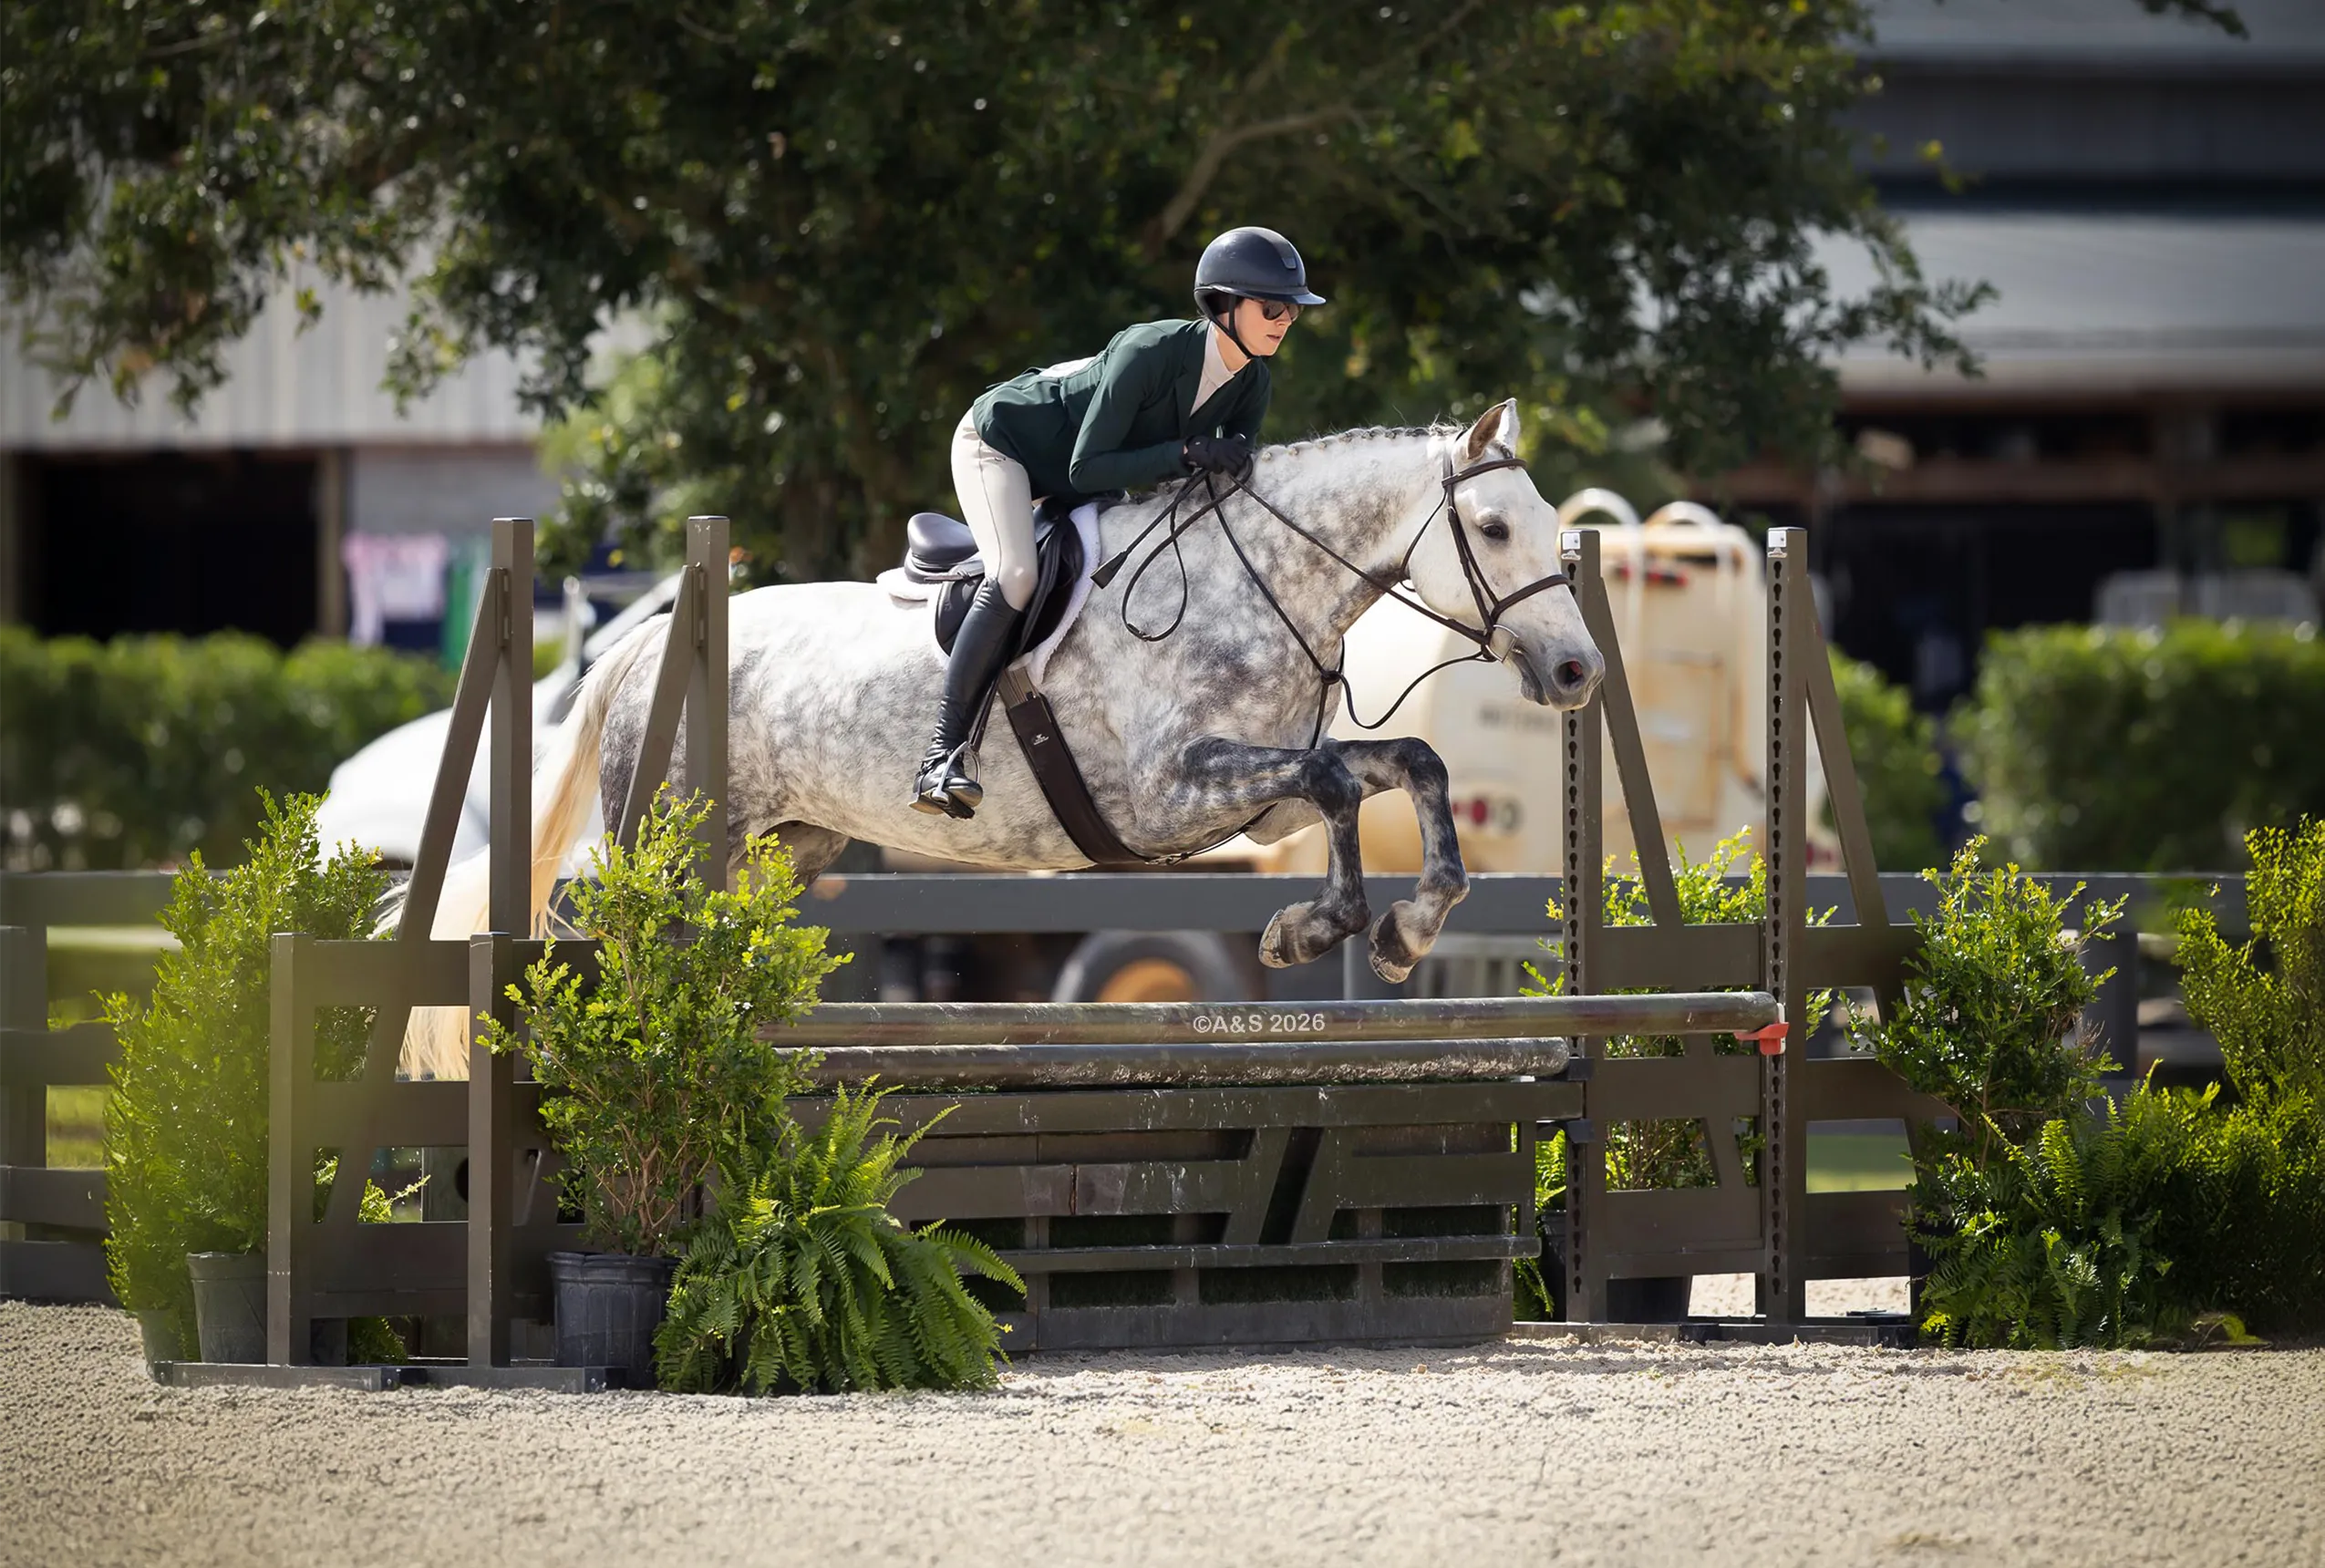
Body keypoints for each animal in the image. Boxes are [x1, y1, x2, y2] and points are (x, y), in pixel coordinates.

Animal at [399, 399, 1603, 1078]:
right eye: (1493, 527)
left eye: (1557, 530)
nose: (1577, 672)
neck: (1257, 578)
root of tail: (647, 639)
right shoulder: (1165, 797)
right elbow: (1341, 783)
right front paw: (1317, 929)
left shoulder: (1257, 802)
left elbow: (1400, 767)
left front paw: (1398, 931)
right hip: (667, 837)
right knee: (604, 923)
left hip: (778, 847)